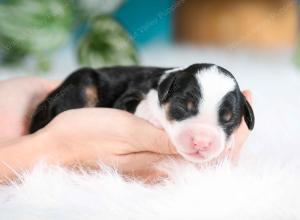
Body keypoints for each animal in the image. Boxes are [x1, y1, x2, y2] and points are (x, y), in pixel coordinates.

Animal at [30, 63, 254, 163]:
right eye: (183, 106)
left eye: (228, 120)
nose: (202, 142)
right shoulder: (127, 97)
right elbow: (141, 105)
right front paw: (154, 114)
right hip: (82, 83)